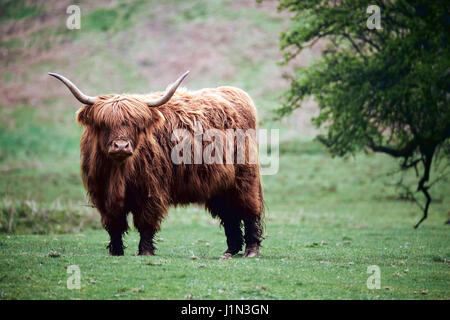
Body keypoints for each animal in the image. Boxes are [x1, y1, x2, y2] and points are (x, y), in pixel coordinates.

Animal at [50, 71, 264, 258]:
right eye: (104, 123)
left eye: (135, 124)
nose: (121, 146)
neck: (118, 173)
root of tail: (233, 92)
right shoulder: (102, 194)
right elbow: (114, 224)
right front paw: (116, 252)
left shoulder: (150, 190)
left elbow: (145, 222)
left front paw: (145, 251)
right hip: (218, 186)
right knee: (229, 215)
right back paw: (230, 250)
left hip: (244, 178)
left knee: (249, 211)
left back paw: (250, 250)